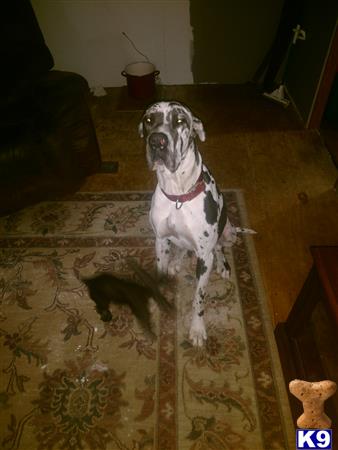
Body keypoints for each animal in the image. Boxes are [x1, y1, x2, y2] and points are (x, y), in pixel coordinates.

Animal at [137, 102, 254, 346]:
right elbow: (159, 275)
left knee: (219, 247)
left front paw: (197, 329)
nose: (157, 141)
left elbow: (198, 298)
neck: (178, 195)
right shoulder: (161, 241)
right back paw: (177, 261)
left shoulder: (204, 256)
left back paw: (223, 266)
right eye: (149, 120)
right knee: (183, 248)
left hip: (228, 232)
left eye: (180, 120)